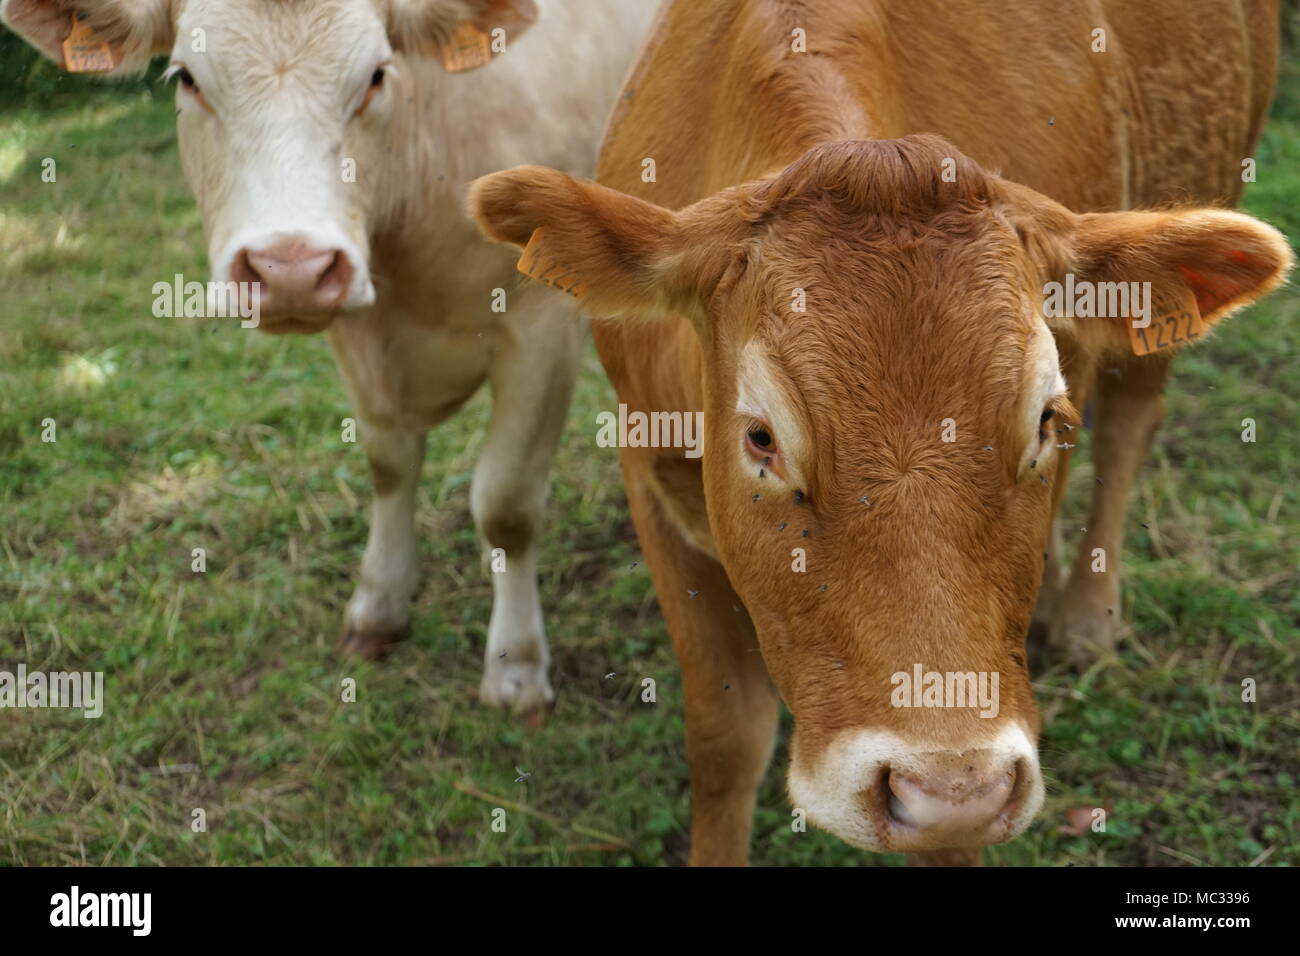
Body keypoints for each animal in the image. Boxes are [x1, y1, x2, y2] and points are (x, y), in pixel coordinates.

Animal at [5, 0, 660, 712]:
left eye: (376, 75)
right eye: (188, 79)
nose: (290, 268)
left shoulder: (541, 332)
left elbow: (506, 506)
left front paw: (515, 667)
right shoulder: (361, 345)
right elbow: (389, 468)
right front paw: (379, 606)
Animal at [473, 0, 1294, 863]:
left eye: (1044, 419)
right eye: (760, 438)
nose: (947, 783)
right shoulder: (651, 474)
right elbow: (727, 741)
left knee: (1131, 424)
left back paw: (1086, 614)